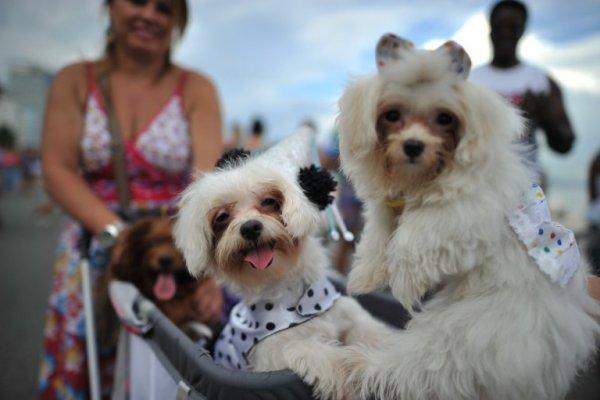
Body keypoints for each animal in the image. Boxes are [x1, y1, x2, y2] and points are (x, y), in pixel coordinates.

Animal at [171, 129, 392, 400]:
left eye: (269, 201)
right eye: (222, 217)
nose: (250, 227)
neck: (292, 294)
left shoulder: (345, 313)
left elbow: (368, 328)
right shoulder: (272, 353)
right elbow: (312, 351)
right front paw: (348, 371)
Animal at [338, 35, 600, 400]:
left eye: (444, 118)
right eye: (392, 115)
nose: (413, 146)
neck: (421, 179)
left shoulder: (464, 212)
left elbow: (415, 234)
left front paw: (403, 283)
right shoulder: (388, 207)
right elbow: (378, 234)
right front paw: (365, 276)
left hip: (468, 336)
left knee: (418, 366)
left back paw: (363, 365)